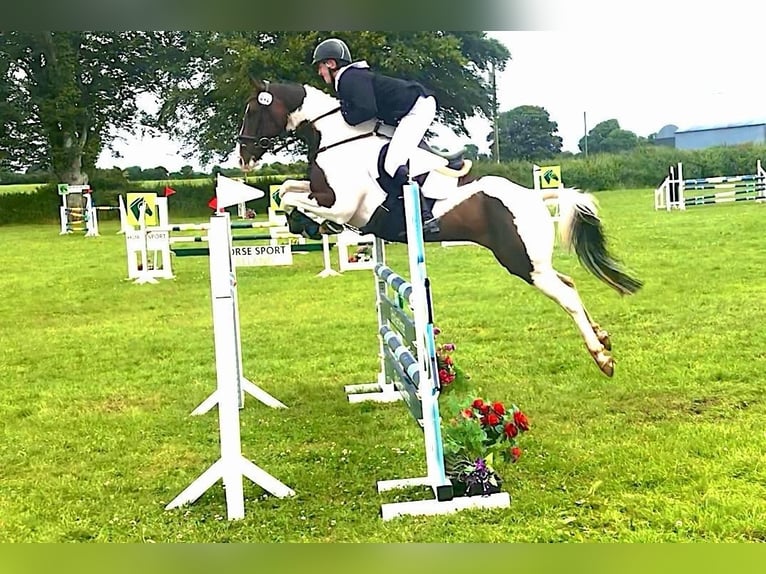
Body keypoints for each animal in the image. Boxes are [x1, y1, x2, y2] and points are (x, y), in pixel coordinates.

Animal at [237, 80, 644, 378]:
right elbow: (288, 189)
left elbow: (296, 197)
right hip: (532, 261)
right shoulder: (325, 195)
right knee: (569, 283)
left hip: (522, 263)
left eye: (254, 110)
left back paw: (601, 357)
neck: (338, 140)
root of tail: (533, 196)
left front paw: (309, 223)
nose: (242, 158)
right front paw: (302, 222)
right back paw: (603, 336)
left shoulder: (345, 205)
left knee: (567, 296)